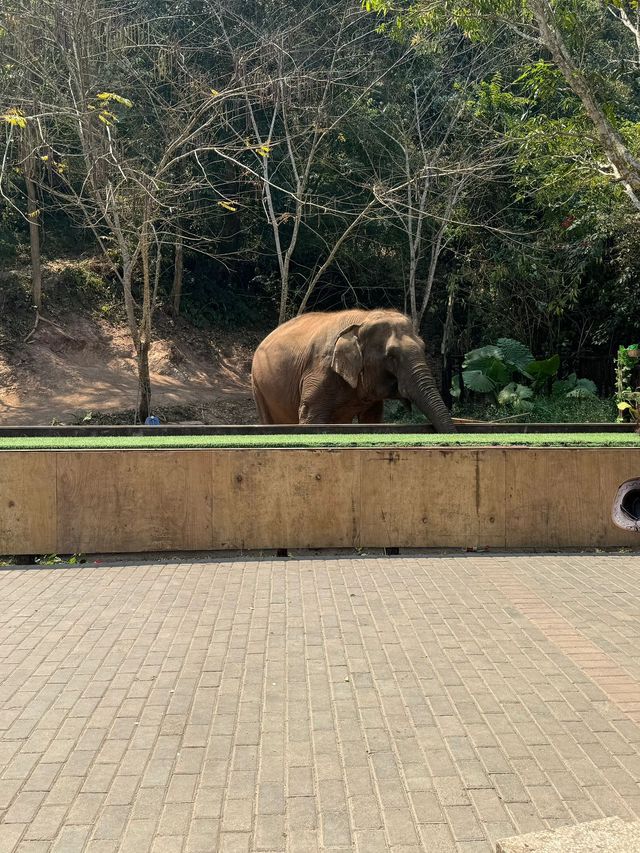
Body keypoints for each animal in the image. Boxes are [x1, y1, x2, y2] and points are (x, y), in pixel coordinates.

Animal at [250, 306, 456, 430]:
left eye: (423, 347)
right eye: (391, 356)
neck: (364, 319)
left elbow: (372, 419)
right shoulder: (320, 371)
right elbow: (310, 417)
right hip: (258, 386)